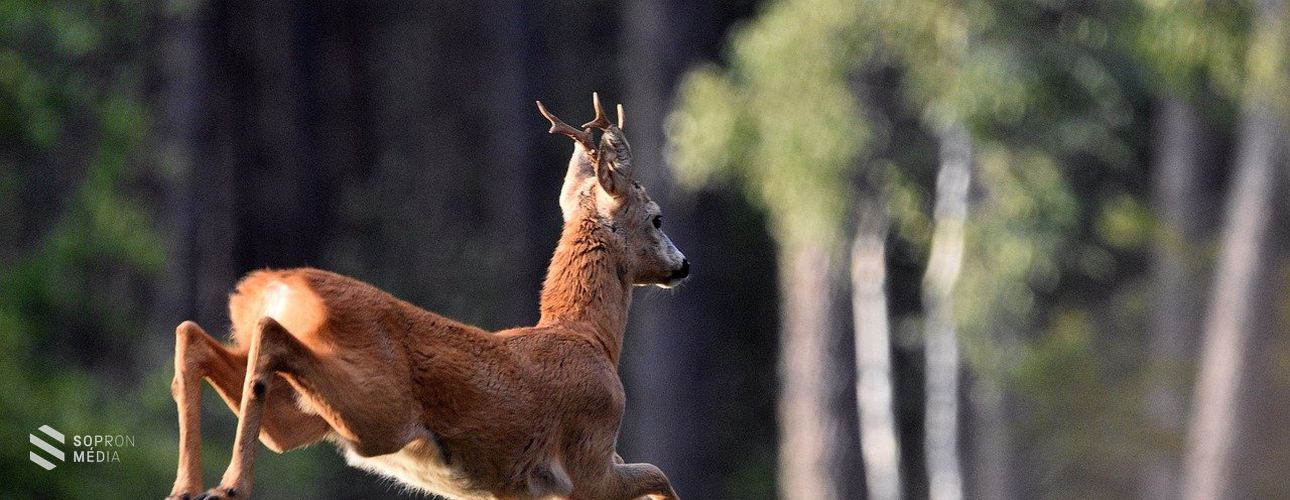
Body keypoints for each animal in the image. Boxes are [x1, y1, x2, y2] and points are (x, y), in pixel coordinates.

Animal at [167, 94, 691, 500]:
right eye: (657, 218)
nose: (683, 265)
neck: (589, 337)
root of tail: (275, 286)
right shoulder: (589, 461)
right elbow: (661, 475)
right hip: (378, 408)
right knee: (265, 334)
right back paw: (228, 486)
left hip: (311, 417)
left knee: (195, 337)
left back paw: (188, 487)